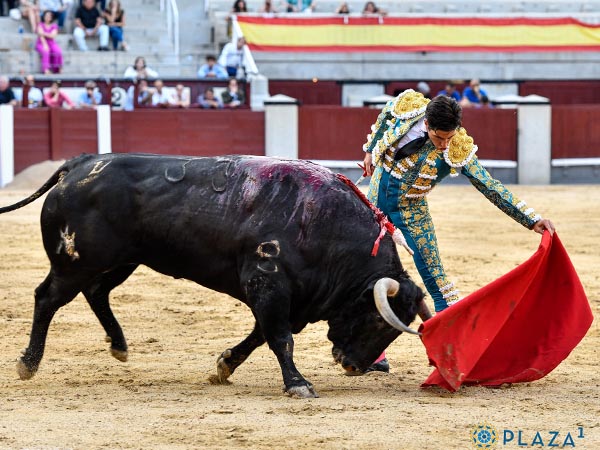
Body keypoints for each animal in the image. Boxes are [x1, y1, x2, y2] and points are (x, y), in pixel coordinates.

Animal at [1, 154, 432, 398]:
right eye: (379, 320)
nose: (354, 365)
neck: (324, 226)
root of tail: (77, 165)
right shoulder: (268, 284)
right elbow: (280, 339)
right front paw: (298, 384)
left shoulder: (287, 298)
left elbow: (260, 336)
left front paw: (225, 366)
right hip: (76, 262)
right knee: (48, 298)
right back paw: (29, 364)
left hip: (123, 260)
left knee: (96, 292)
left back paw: (119, 345)